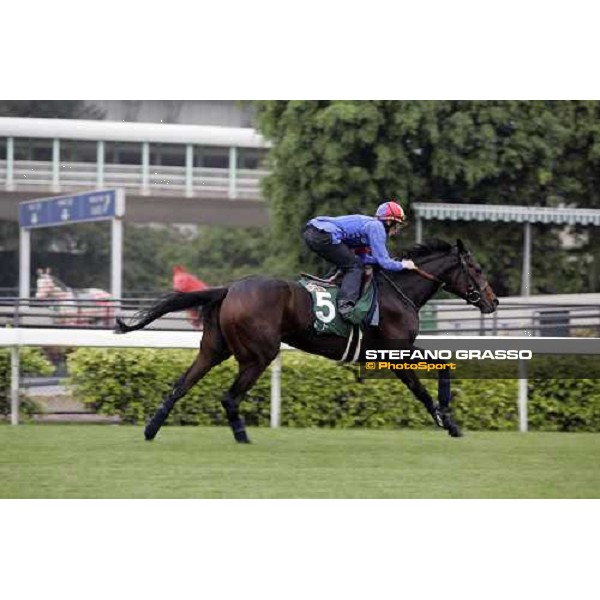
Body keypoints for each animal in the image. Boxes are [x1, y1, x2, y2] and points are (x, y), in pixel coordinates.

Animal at [116, 238, 496, 440]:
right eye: (477, 270)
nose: (493, 302)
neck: (398, 291)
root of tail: (229, 288)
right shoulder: (393, 353)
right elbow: (421, 388)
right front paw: (445, 418)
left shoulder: (394, 350)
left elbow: (442, 365)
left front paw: (448, 417)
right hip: (259, 354)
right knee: (228, 396)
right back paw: (242, 435)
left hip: (214, 348)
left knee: (181, 385)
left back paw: (151, 428)